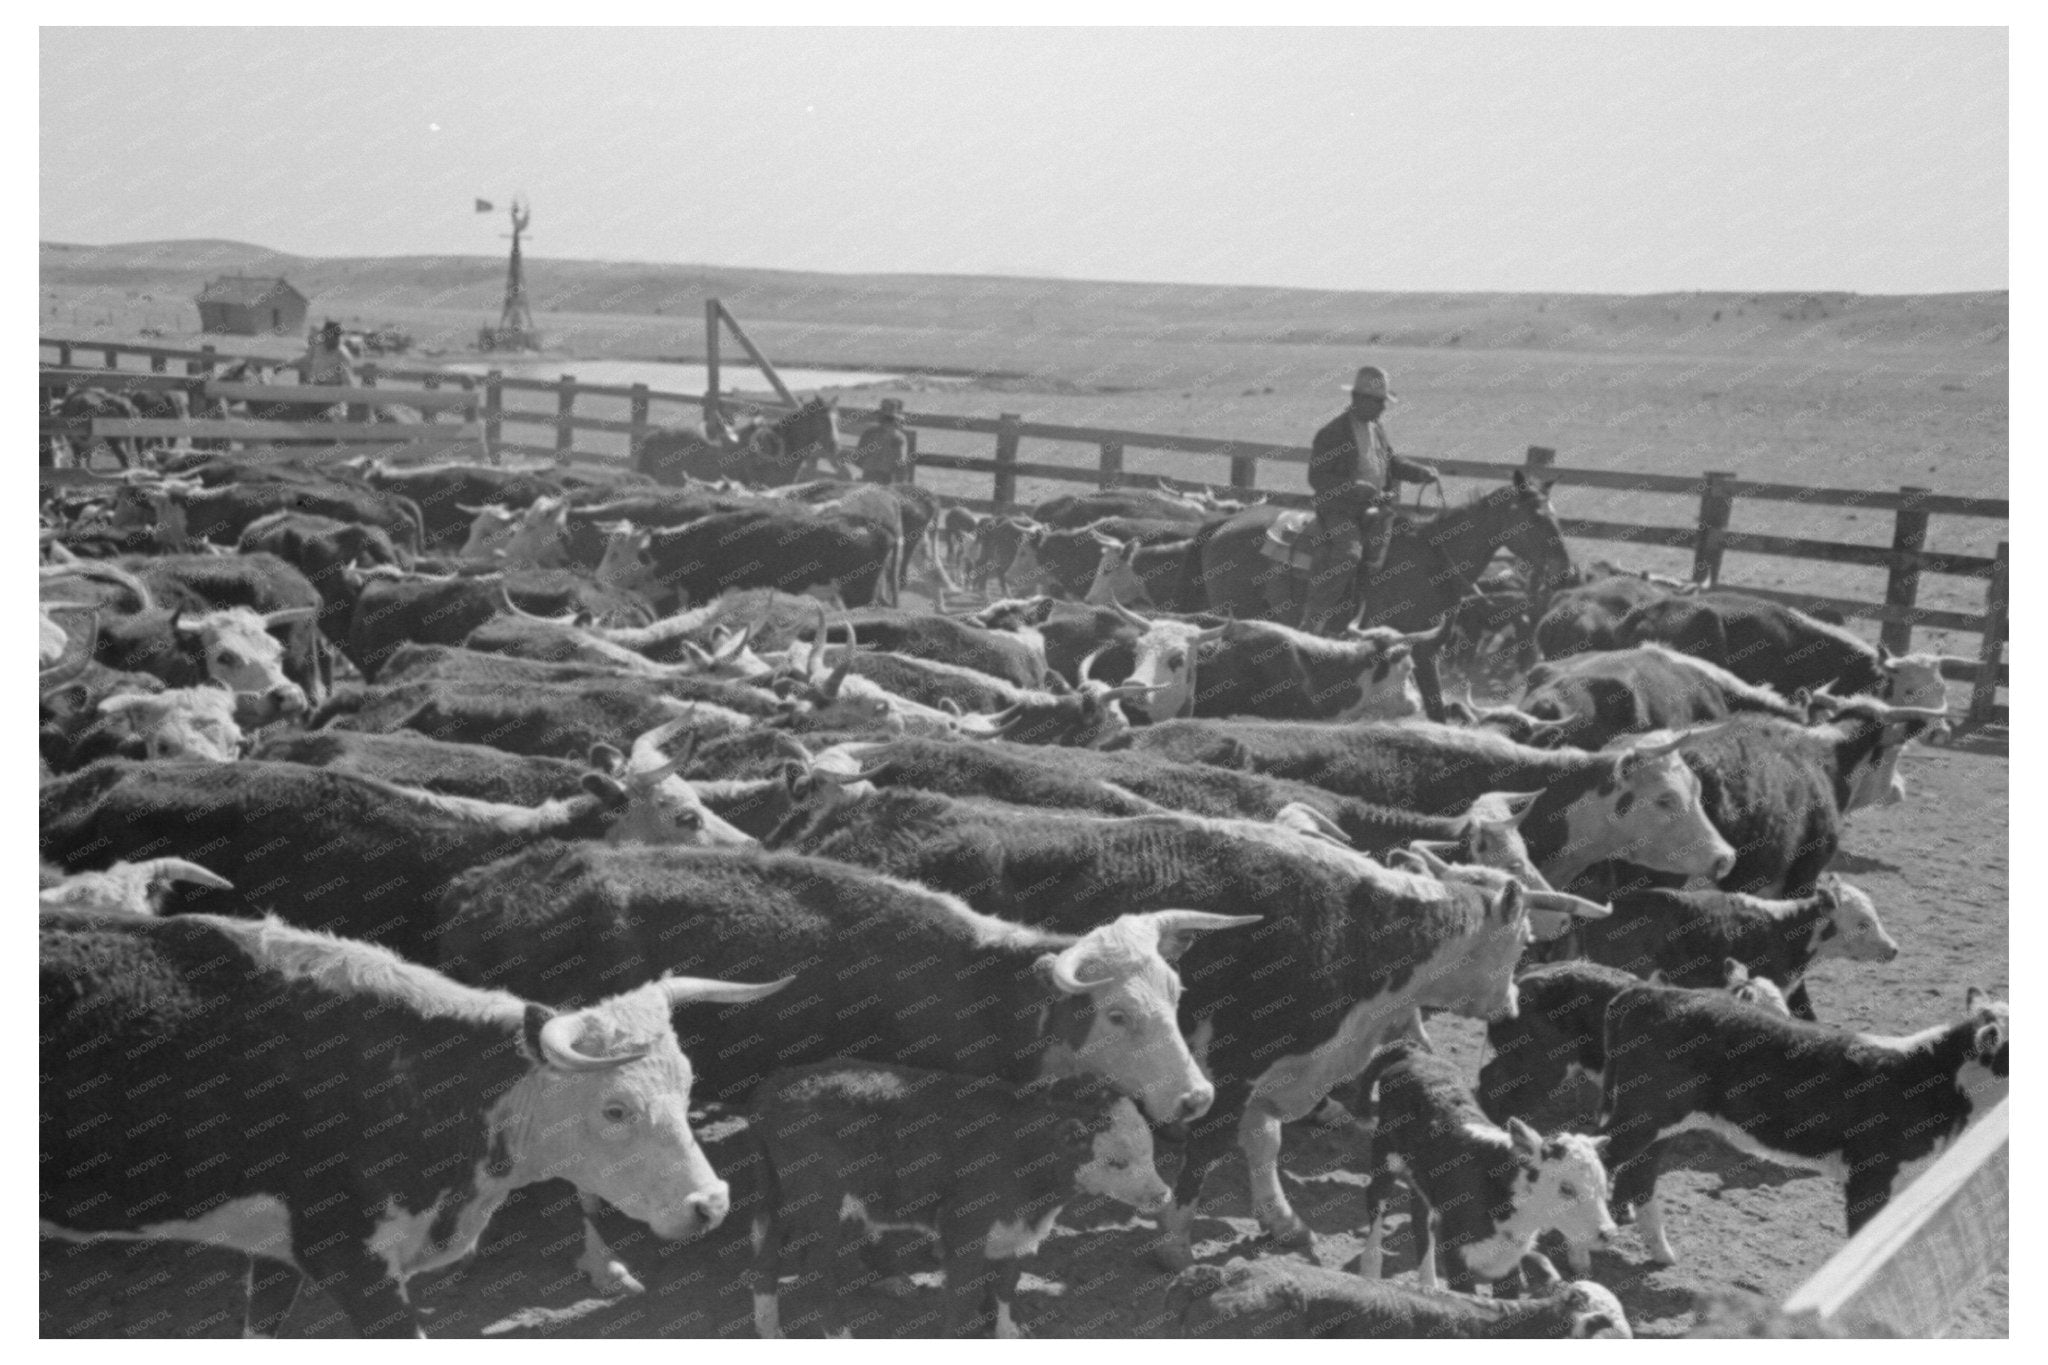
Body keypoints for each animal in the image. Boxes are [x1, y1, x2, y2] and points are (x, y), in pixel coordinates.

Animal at [747, 1063, 1170, 1338]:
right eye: (1117, 1161)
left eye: (1149, 1151)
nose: (1162, 1193)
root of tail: (774, 1087)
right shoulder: (963, 1229)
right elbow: (963, 1296)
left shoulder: (1013, 1228)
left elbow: (1006, 1283)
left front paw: (1007, 1332)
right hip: (822, 1205)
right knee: (816, 1270)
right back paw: (840, 1336)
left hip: (784, 1199)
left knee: (766, 1258)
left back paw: (770, 1330)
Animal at [763, 786, 1606, 1267]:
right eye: (1519, 938)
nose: (1511, 1005)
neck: (1354, 923)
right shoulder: (1231, 1064)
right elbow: (1207, 1149)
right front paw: (1173, 1237)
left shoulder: (1269, 1068)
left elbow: (1262, 1143)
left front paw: (1282, 1220)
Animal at [1353, 1042, 1617, 1294]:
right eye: (1566, 1188)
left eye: (1603, 1188)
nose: (1609, 1233)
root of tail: (1415, 1053)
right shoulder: (1457, 1250)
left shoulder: (1509, 1259)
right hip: (1385, 1154)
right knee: (1376, 1203)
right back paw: (1370, 1273)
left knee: (1421, 1218)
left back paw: (1429, 1285)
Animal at [1597, 985, 2009, 1262]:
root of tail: (1653, 991)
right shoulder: (1870, 1175)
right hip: (1642, 1117)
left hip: (1660, 1124)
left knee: (1639, 1175)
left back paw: (1660, 1252)